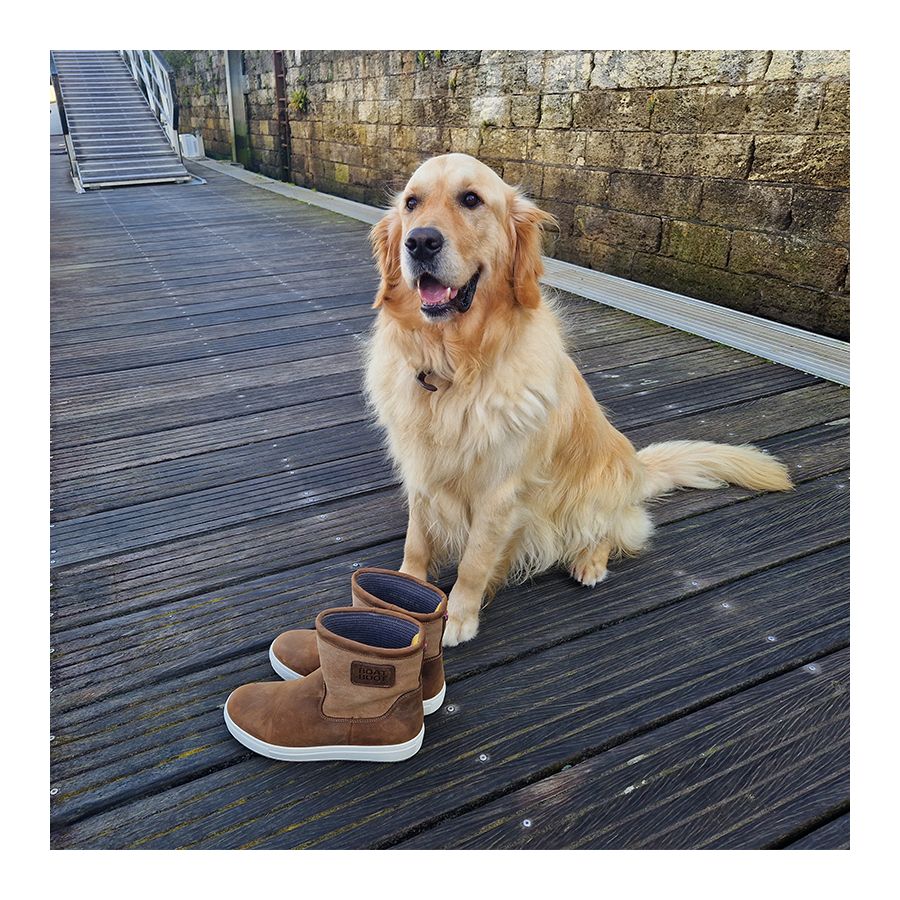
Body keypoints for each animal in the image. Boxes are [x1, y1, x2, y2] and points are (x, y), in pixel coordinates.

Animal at [362, 155, 792, 648]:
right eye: (412, 203)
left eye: (471, 199)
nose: (419, 241)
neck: (454, 368)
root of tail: (637, 471)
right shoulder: (421, 472)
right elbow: (417, 542)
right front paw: (401, 592)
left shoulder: (499, 494)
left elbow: (473, 562)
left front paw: (458, 618)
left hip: (595, 494)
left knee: (612, 530)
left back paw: (590, 562)